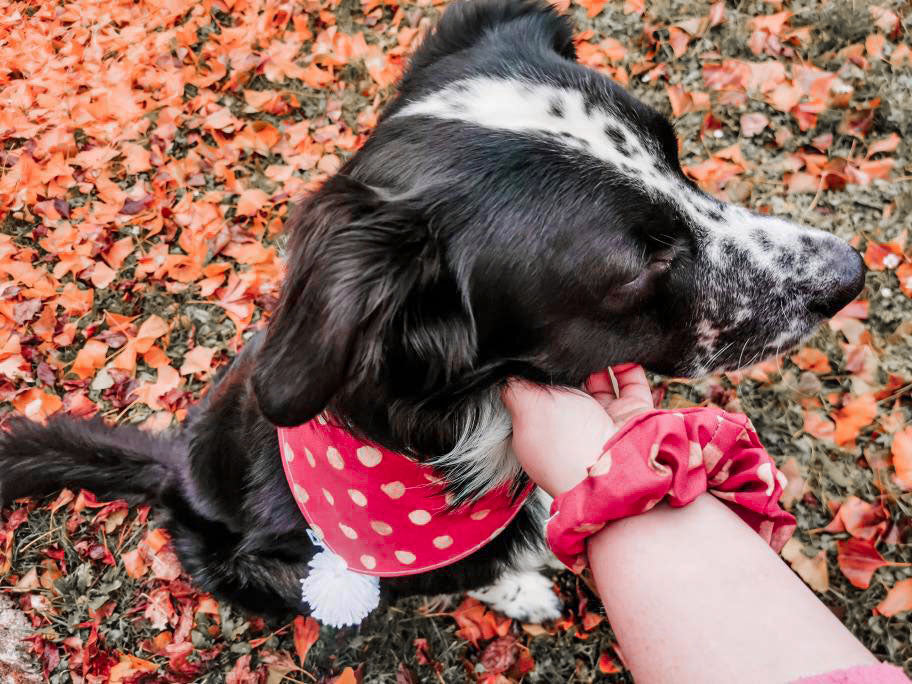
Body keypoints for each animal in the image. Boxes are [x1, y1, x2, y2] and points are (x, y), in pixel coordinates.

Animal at [0, 0, 864, 624]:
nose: (850, 275)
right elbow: (474, 570)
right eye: (636, 265)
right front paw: (519, 590)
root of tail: (172, 472)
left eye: (675, 149)